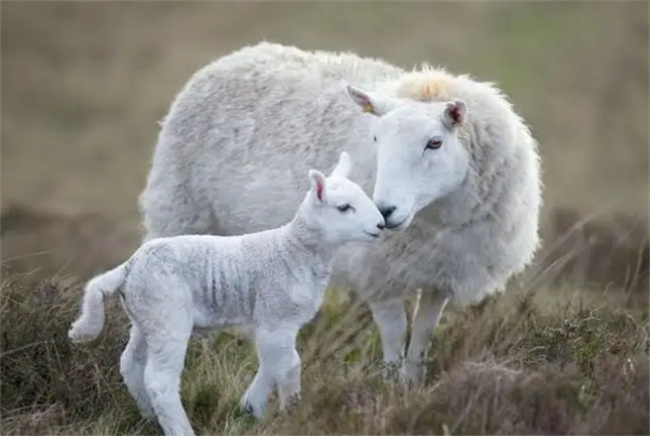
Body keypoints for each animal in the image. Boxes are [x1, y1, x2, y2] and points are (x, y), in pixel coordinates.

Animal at [69, 152, 384, 436]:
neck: (294, 250)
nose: (381, 225)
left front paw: (252, 407)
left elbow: (271, 362)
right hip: (167, 315)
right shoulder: (276, 315)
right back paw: (180, 429)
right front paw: (293, 414)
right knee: (160, 380)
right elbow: (289, 365)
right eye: (344, 208)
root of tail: (129, 267)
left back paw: (148, 418)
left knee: (131, 364)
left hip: (145, 317)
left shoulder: (272, 323)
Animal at [138, 41, 540, 384]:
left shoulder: (441, 273)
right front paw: (391, 386)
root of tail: (237, 56)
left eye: (435, 143)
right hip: (179, 212)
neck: (436, 216)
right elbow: (395, 334)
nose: (384, 211)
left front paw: (413, 384)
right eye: (376, 138)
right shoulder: (379, 273)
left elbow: (423, 334)